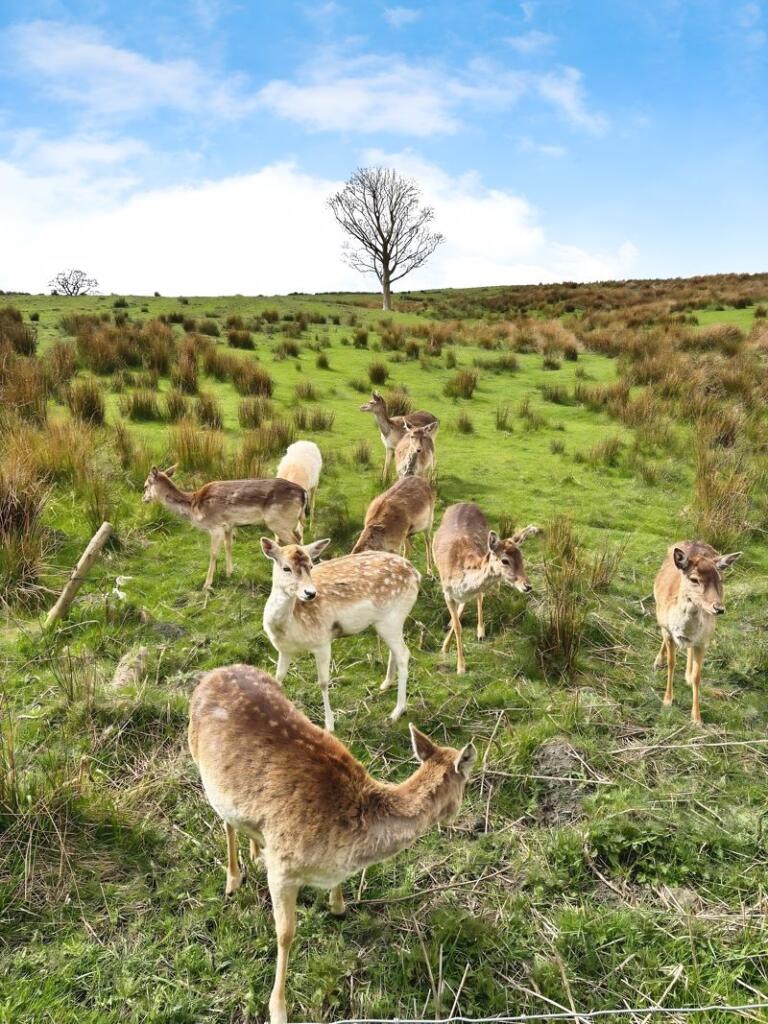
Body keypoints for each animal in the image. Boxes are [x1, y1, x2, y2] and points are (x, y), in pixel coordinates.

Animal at [142, 465, 307, 590]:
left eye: (145, 486)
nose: (143, 499)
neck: (194, 507)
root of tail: (304, 493)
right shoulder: (228, 526)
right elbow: (228, 546)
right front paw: (229, 573)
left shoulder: (215, 526)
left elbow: (213, 553)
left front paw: (207, 585)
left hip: (279, 523)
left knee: (298, 543)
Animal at [189, 663, 476, 1024]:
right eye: (469, 781)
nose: (457, 816)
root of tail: (215, 672)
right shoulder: (282, 866)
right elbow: (285, 933)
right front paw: (278, 1008)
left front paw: (338, 905)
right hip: (202, 767)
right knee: (225, 821)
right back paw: (232, 878)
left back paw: (255, 852)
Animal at [260, 538, 420, 731]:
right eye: (286, 568)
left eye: (311, 566)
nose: (310, 593)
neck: (290, 628)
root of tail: (416, 573)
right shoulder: (284, 649)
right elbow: (278, 678)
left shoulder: (322, 641)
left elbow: (323, 682)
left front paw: (329, 725)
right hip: (388, 623)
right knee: (395, 651)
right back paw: (385, 684)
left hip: (393, 617)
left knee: (404, 653)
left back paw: (396, 712)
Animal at [432, 502, 539, 674]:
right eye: (505, 560)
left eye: (521, 557)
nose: (527, 586)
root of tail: (465, 503)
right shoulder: (446, 592)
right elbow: (458, 626)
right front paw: (458, 664)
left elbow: (468, 607)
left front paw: (454, 656)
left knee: (479, 596)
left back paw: (481, 632)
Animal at [653, 541, 741, 725]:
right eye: (694, 579)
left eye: (720, 579)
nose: (719, 608)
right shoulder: (668, 631)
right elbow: (672, 664)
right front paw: (667, 700)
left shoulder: (703, 641)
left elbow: (697, 676)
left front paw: (696, 718)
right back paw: (658, 661)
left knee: (689, 648)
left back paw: (686, 673)